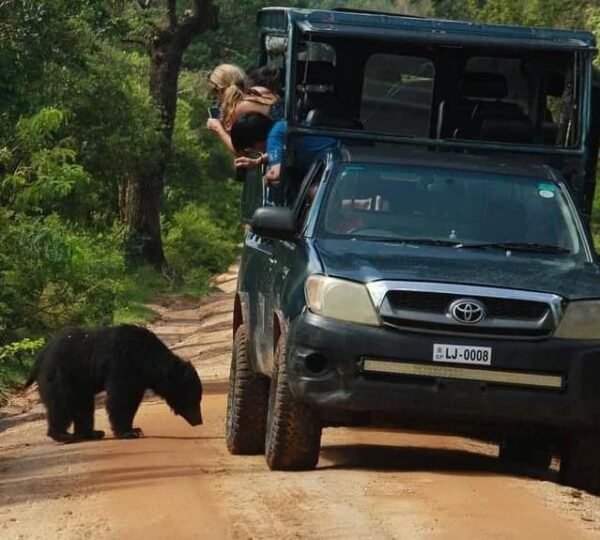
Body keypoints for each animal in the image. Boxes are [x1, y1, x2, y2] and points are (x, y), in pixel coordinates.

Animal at [24, 324, 203, 442]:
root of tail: (39, 358)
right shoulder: (123, 365)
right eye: (192, 399)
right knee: (61, 405)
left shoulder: (138, 379)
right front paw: (129, 432)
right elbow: (121, 399)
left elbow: (130, 401)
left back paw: (92, 433)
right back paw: (63, 435)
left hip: (79, 384)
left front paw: (134, 429)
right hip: (62, 376)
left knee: (82, 406)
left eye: (197, 398)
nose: (199, 421)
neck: (146, 361)